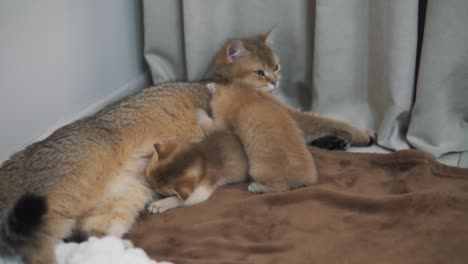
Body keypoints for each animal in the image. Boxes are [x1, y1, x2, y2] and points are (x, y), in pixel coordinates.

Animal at [0, 30, 372, 262]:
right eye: (260, 71)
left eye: (276, 66)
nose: (277, 80)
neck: (220, 79)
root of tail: (19, 158)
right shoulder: (291, 116)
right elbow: (324, 119)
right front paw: (362, 134)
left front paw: (337, 142)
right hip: (60, 199)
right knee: (37, 246)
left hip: (125, 198)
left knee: (92, 231)